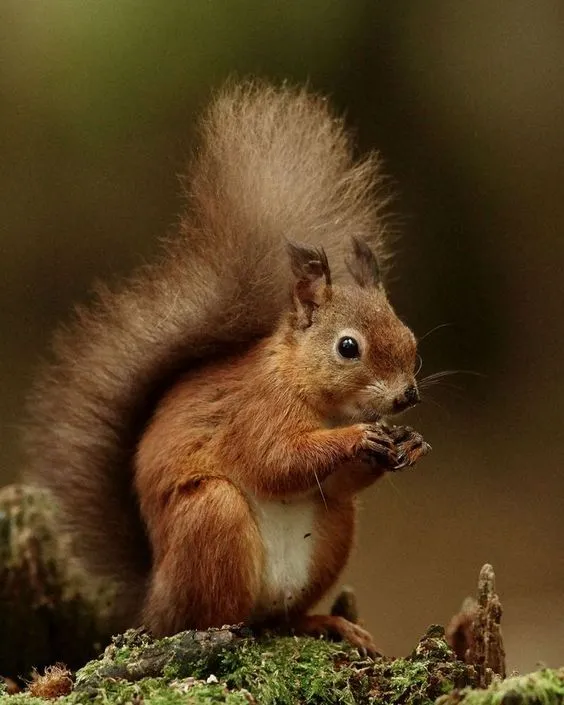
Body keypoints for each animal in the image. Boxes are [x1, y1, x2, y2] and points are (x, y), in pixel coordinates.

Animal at [24, 81, 430, 656]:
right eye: (348, 347)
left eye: (412, 341)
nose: (407, 396)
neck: (309, 390)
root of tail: (154, 600)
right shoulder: (256, 411)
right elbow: (274, 461)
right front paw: (357, 439)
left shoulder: (333, 483)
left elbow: (336, 484)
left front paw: (409, 443)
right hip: (212, 517)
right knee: (216, 613)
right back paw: (223, 631)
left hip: (332, 531)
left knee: (286, 615)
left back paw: (325, 622)